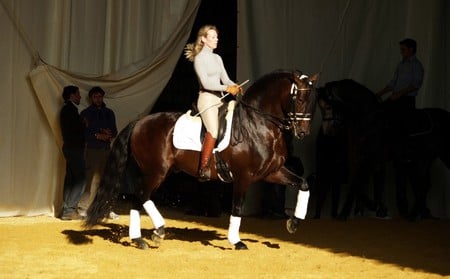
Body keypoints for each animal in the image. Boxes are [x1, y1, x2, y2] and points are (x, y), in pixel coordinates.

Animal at [83, 69, 316, 249]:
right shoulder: (243, 177)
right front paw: (236, 241)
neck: (258, 124)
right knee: (139, 196)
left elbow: (303, 184)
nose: (303, 132)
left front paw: (294, 223)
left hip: (158, 172)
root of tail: (139, 122)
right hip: (156, 171)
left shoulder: (271, 172)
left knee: (141, 197)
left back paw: (152, 234)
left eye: (311, 100)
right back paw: (145, 237)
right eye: (299, 99)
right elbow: (237, 208)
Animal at [316, 80, 450, 222]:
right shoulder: (360, 159)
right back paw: (414, 215)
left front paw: (369, 208)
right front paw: (368, 209)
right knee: (424, 185)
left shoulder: (370, 160)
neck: (368, 121)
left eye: (328, 107)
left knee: (423, 185)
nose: (327, 131)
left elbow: (357, 184)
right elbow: (358, 184)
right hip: (424, 159)